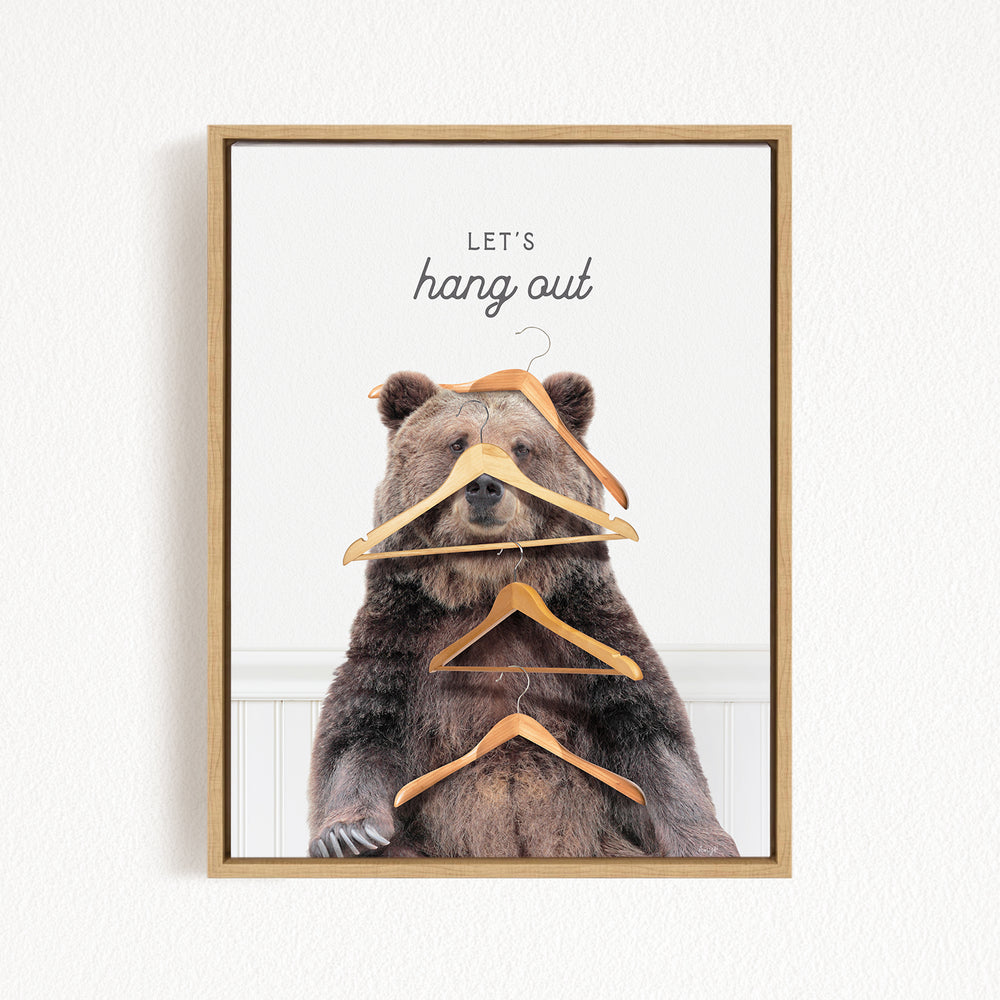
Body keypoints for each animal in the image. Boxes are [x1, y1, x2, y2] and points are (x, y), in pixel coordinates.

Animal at [308, 371, 739, 858]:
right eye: (457, 443)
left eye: (522, 447)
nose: (484, 486)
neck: (486, 580)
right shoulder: (405, 631)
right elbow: (360, 725)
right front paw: (348, 833)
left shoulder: (588, 629)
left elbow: (651, 734)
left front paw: (705, 841)